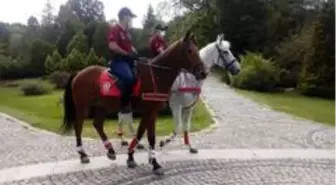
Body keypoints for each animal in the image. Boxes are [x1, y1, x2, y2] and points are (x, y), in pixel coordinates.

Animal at [61, 30, 206, 175]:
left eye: (197, 49)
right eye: (189, 51)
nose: (203, 72)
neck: (156, 75)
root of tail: (79, 73)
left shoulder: (152, 113)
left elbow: (143, 134)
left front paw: (133, 157)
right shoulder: (149, 112)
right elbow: (148, 136)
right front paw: (153, 163)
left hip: (101, 106)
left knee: (97, 124)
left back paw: (110, 150)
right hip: (82, 107)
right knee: (78, 127)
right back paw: (83, 154)